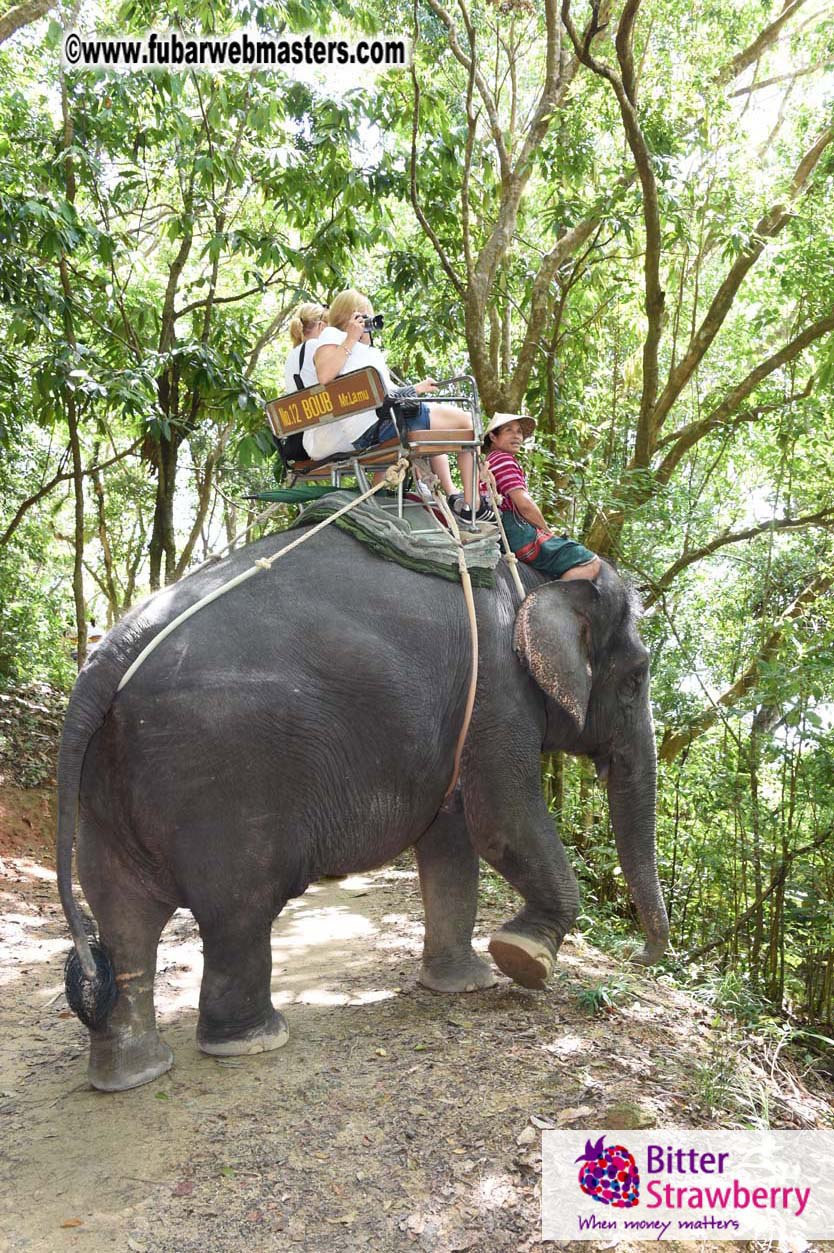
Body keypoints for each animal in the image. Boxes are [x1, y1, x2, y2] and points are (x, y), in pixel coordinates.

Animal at [57, 524, 668, 1092]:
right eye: (637, 677)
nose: (643, 957)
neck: (537, 579)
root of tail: (108, 659)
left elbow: (452, 838)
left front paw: (464, 985)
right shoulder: (499, 693)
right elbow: (501, 818)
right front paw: (524, 958)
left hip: (106, 792)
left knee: (123, 921)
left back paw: (132, 1073)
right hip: (220, 776)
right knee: (239, 909)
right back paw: (254, 1041)